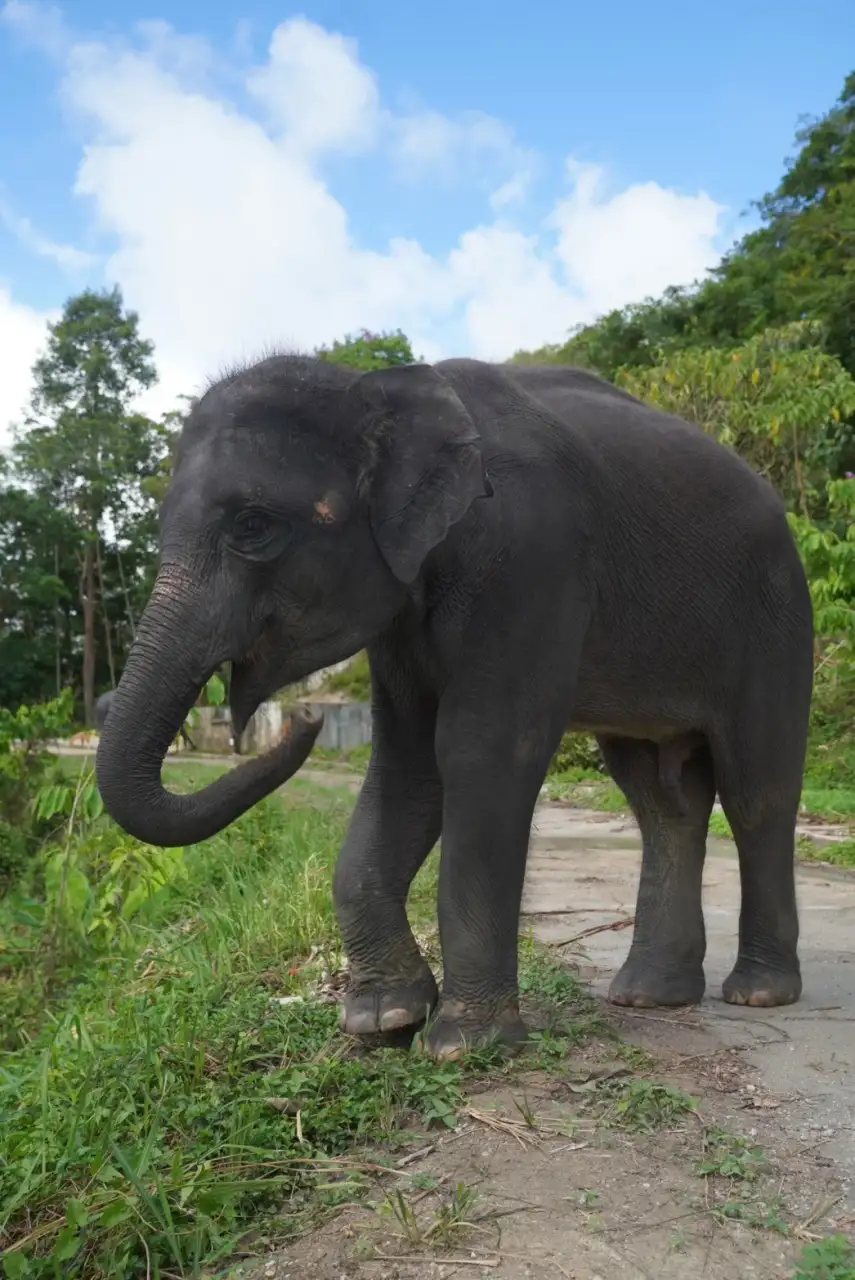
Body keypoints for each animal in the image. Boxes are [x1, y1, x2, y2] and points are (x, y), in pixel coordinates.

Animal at [95, 355, 814, 1062]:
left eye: (253, 526)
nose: (305, 718)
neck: (374, 387)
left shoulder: (531, 560)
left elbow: (479, 751)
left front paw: (463, 1046)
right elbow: (407, 766)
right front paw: (384, 1020)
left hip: (775, 618)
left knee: (756, 790)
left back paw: (757, 993)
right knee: (661, 799)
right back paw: (646, 996)